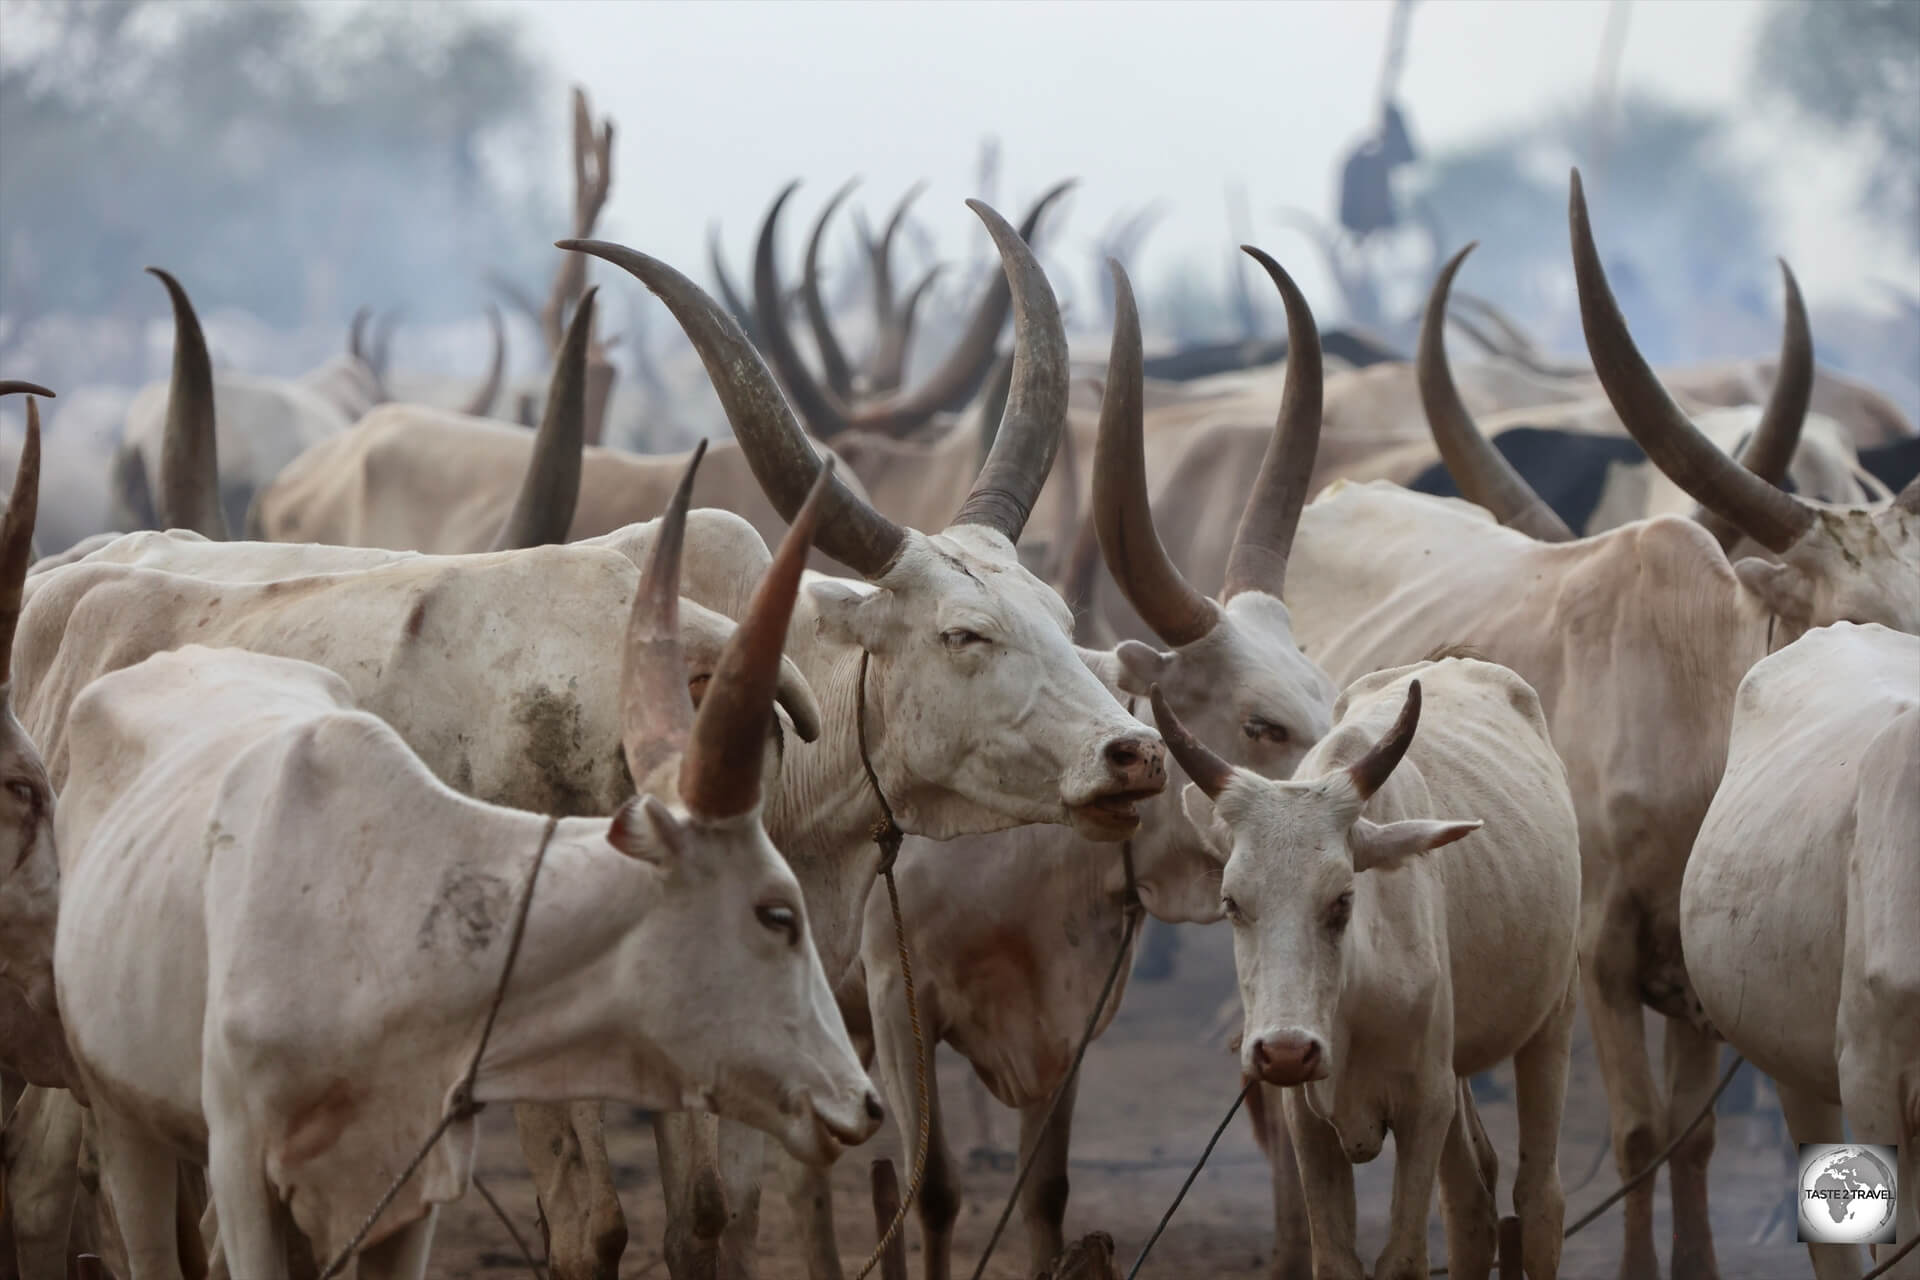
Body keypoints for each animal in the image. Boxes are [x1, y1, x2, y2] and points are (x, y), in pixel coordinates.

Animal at [1159, 660, 1582, 1280]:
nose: (1285, 1051)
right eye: (1231, 902)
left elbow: (1403, 1258)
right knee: (1471, 1202)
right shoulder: (1308, 1120)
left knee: (1539, 1201)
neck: (1353, 1003)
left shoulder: (1423, 1107)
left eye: (1342, 899)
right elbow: (1336, 1258)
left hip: (1551, 1022)